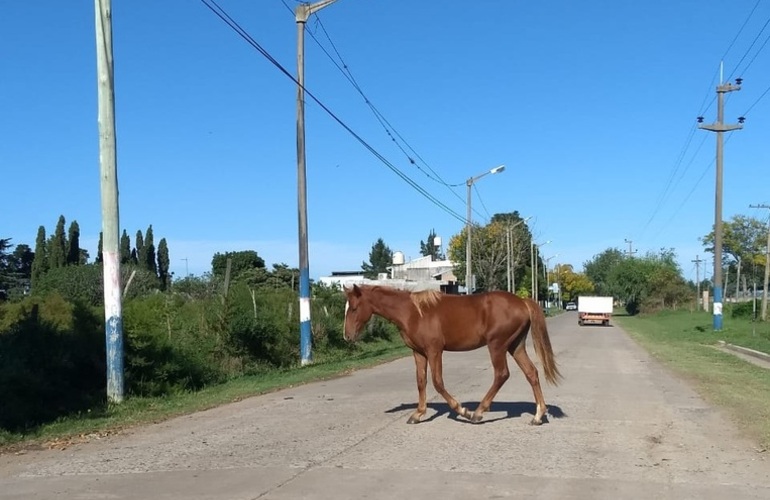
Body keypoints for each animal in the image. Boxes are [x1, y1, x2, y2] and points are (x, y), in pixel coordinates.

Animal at [343, 284, 561, 425]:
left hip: (497, 345)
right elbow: (421, 381)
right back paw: (538, 415)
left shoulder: (434, 351)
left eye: (353, 308)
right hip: (515, 346)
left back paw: (478, 413)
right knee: (531, 373)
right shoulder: (418, 353)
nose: (347, 336)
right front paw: (418, 414)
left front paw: (462, 410)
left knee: (502, 374)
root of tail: (522, 302)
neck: (413, 312)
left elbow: (438, 382)